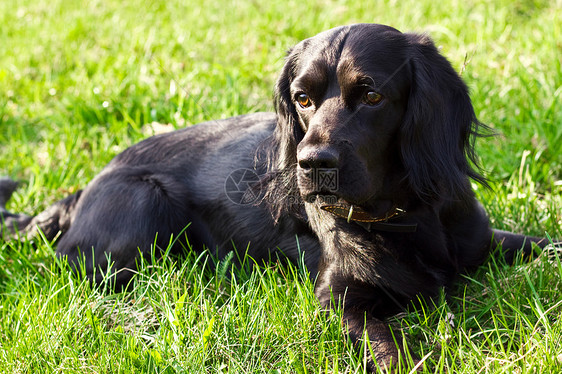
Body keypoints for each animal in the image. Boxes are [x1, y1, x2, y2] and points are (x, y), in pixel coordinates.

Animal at [1, 23, 552, 372]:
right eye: (302, 99)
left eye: (372, 95)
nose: (312, 164)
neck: (405, 215)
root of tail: (85, 187)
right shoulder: (340, 298)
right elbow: (388, 344)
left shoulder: (483, 239)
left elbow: (543, 243)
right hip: (142, 208)